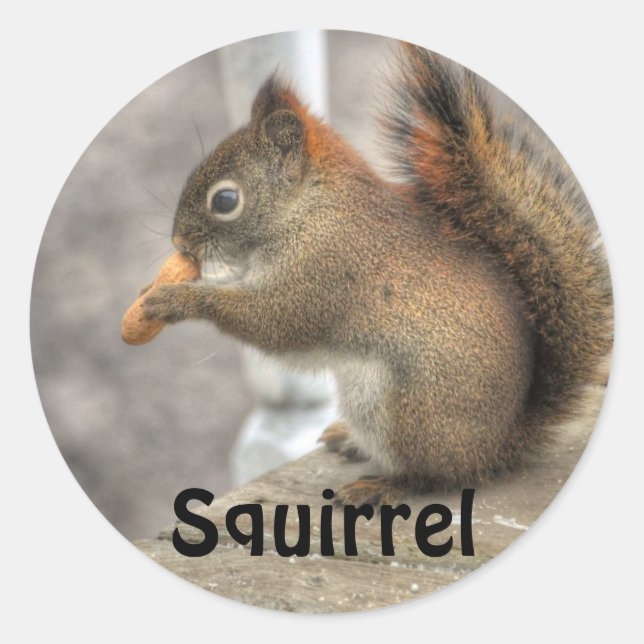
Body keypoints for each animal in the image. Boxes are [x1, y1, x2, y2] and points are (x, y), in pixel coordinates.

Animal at [142, 43, 613, 506]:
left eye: (225, 200)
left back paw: (383, 484)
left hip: (404, 409)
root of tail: (498, 445)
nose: (180, 242)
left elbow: (275, 322)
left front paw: (176, 298)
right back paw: (352, 441)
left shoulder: (324, 271)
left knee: (435, 476)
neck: (308, 209)